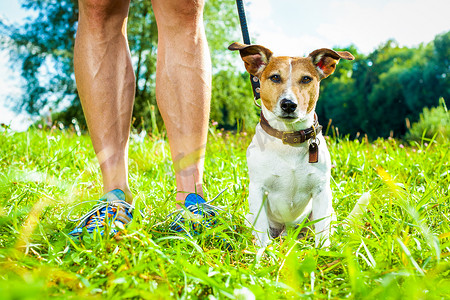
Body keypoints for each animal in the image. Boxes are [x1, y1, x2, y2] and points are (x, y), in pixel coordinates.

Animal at [232, 42, 356, 248]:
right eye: (275, 77)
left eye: (306, 79)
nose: (289, 104)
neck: (289, 139)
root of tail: (287, 233)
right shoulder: (257, 190)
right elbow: (262, 234)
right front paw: (263, 254)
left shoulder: (322, 191)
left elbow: (322, 234)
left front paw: (323, 252)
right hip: (250, 217)